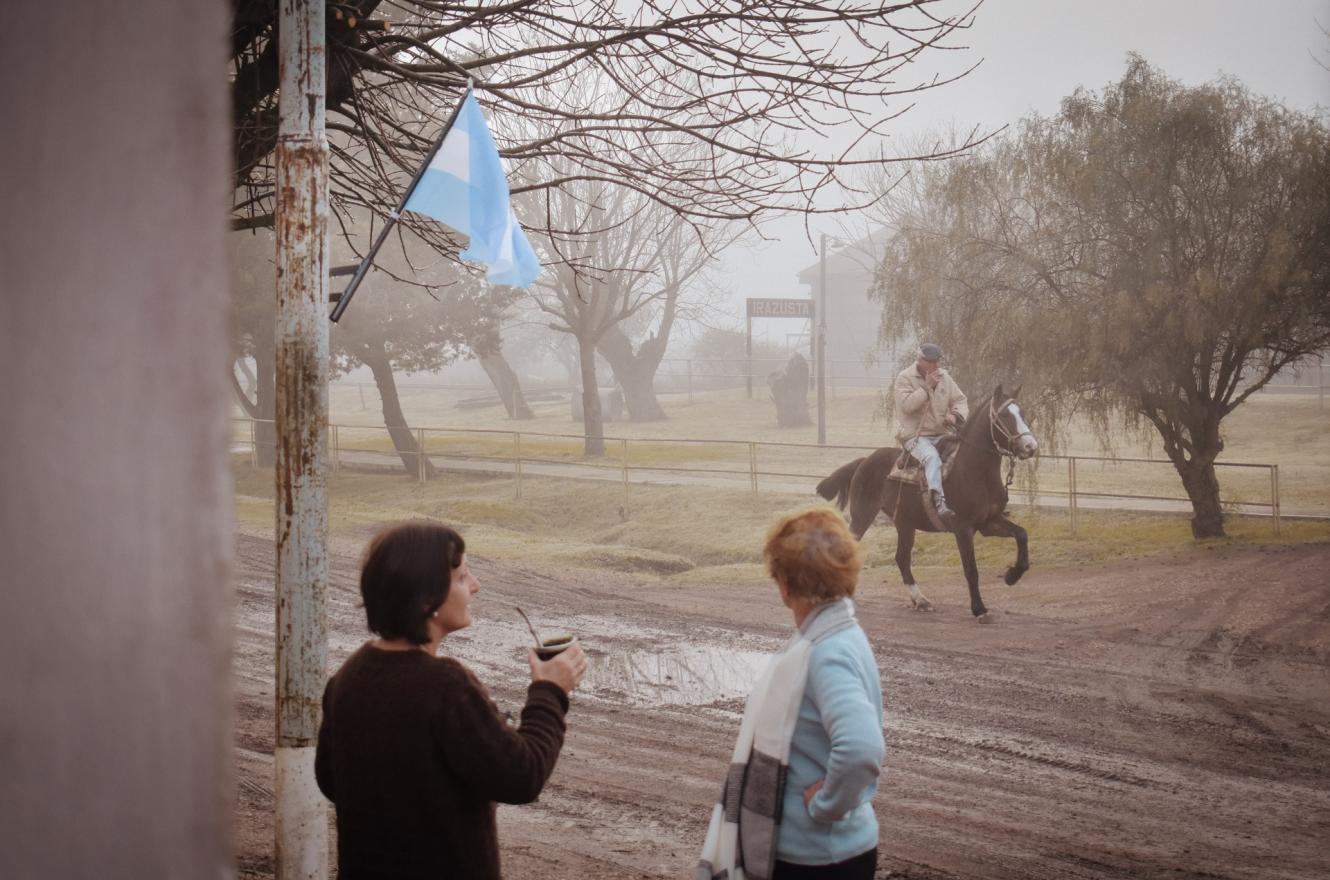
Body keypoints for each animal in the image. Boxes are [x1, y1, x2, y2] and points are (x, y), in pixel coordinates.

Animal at [819, 385, 1037, 619]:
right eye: (1005, 415)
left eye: (1022, 413)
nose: (1031, 446)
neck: (975, 471)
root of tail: (864, 461)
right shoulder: (963, 528)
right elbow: (971, 569)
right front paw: (979, 609)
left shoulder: (989, 523)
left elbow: (1022, 534)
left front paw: (1012, 576)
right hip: (863, 516)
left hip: (904, 524)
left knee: (902, 558)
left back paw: (921, 600)